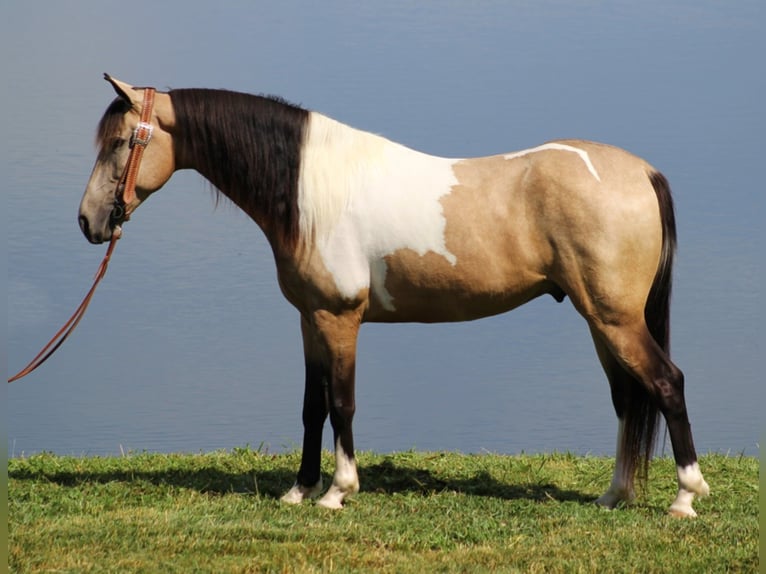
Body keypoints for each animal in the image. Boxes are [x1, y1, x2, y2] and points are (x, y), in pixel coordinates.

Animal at [76, 74, 708, 520]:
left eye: (120, 142)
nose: (88, 222)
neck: (309, 191)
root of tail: (642, 172)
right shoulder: (309, 319)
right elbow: (311, 407)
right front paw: (299, 490)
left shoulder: (340, 318)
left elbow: (342, 403)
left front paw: (338, 491)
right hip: (602, 320)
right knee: (628, 397)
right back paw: (615, 495)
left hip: (614, 318)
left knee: (666, 383)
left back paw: (685, 497)